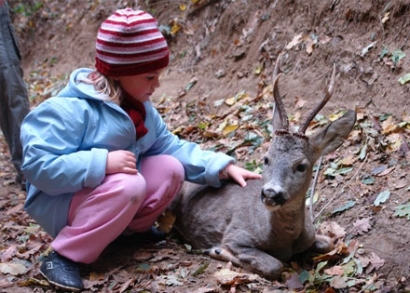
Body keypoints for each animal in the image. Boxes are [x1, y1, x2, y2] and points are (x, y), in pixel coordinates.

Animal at [168, 56, 358, 280]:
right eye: (266, 158)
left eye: (301, 165)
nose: (270, 193)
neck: (281, 240)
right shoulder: (236, 234)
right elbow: (273, 265)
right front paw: (218, 250)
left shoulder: (311, 233)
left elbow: (328, 243)